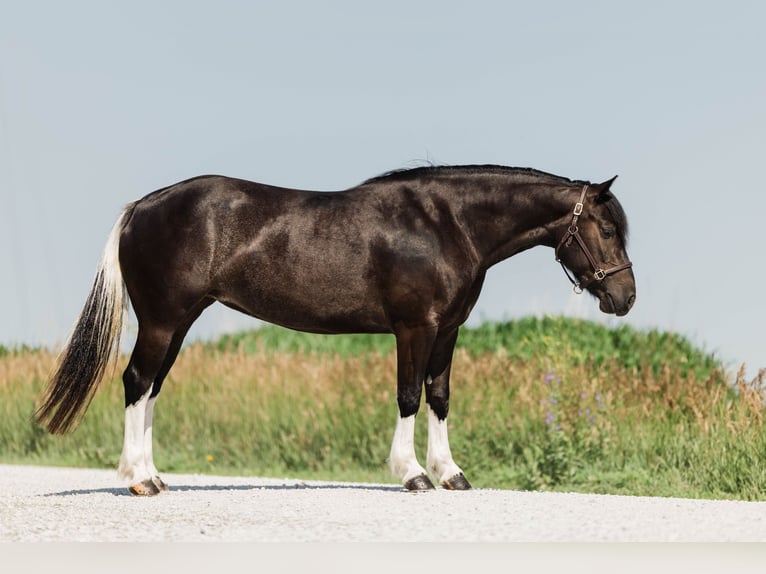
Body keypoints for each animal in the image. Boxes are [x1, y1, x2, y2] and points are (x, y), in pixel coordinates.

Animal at [35, 164, 635, 495]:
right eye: (606, 228)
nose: (625, 298)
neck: (446, 224)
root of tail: (141, 206)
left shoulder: (448, 331)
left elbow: (439, 396)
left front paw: (451, 473)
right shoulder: (414, 329)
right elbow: (409, 396)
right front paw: (412, 474)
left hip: (180, 322)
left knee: (152, 388)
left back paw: (155, 476)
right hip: (162, 321)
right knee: (137, 382)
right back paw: (139, 479)